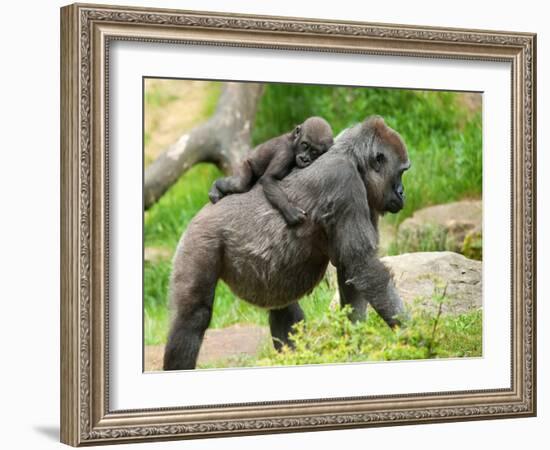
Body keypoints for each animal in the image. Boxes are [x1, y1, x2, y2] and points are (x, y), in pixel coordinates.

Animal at [166, 115, 412, 370]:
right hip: (200, 239)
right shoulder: (345, 181)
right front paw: (411, 334)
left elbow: (353, 274)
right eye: (401, 172)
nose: (402, 192)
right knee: (192, 316)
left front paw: (353, 342)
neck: (352, 158)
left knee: (283, 308)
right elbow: (363, 266)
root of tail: (199, 214)